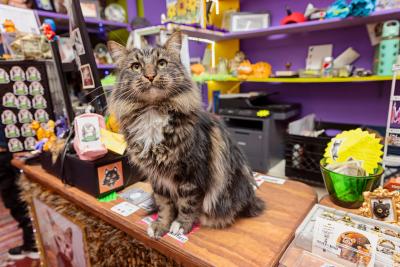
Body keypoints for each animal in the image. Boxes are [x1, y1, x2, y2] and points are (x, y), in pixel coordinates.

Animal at [108, 31, 264, 239]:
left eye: (162, 63)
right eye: (136, 66)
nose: (150, 75)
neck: (153, 113)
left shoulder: (191, 174)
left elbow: (187, 205)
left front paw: (181, 225)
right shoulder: (157, 177)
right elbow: (164, 205)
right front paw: (160, 226)